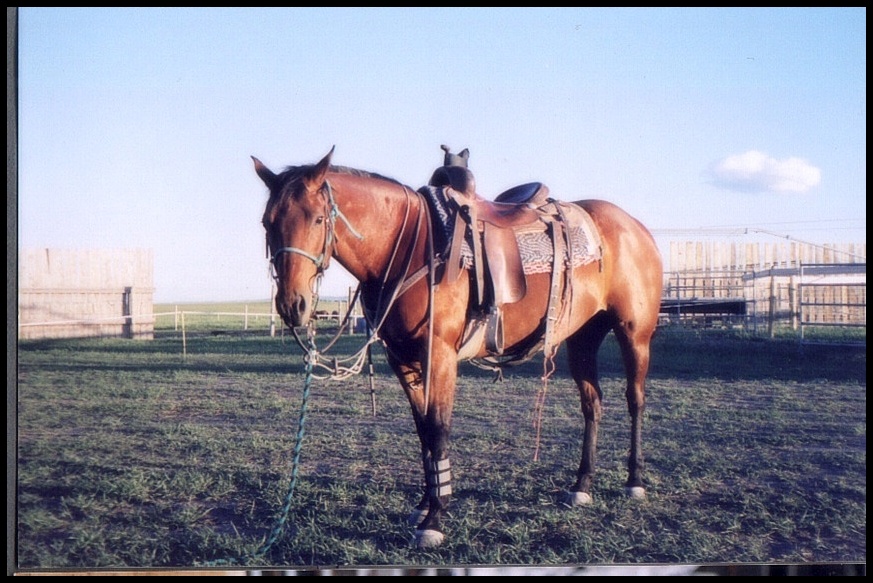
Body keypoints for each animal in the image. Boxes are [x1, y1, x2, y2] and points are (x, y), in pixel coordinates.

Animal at [250, 146, 660, 548]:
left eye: (319, 219)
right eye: (268, 223)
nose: (293, 305)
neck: (409, 246)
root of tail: (635, 227)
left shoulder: (440, 354)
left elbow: (438, 426)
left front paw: (435, 517)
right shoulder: (402, 358)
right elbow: (422, 430)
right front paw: (424, 502)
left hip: (634, 334)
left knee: (634, 399)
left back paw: (634, 481)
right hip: (582, 338)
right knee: (593, 404)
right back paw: (581, 485)